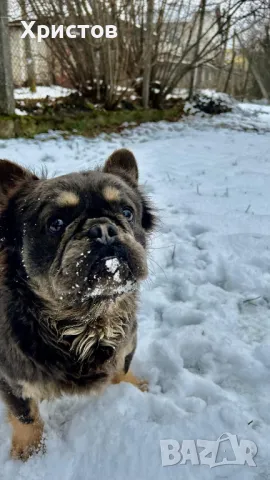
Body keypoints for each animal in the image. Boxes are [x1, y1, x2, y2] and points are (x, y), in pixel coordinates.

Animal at [0, 149, 155, 462]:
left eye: (127, 213)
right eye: (56, 223)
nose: (103, 229)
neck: (88, 320)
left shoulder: (126, 344)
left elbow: (122, 368)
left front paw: (133, 388)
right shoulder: (11, 377)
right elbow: (25, 415)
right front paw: (29, 451)